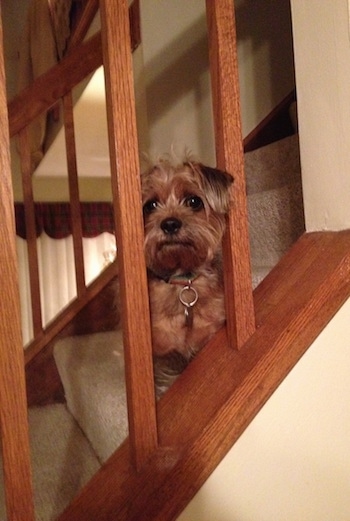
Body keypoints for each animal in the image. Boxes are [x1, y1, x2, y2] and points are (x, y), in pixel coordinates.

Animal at [141, 156, 234, 396]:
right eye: (150, 205)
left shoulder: (210, 333)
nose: (170, 223)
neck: (182, 279)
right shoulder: (162, 356)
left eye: (194, 201)